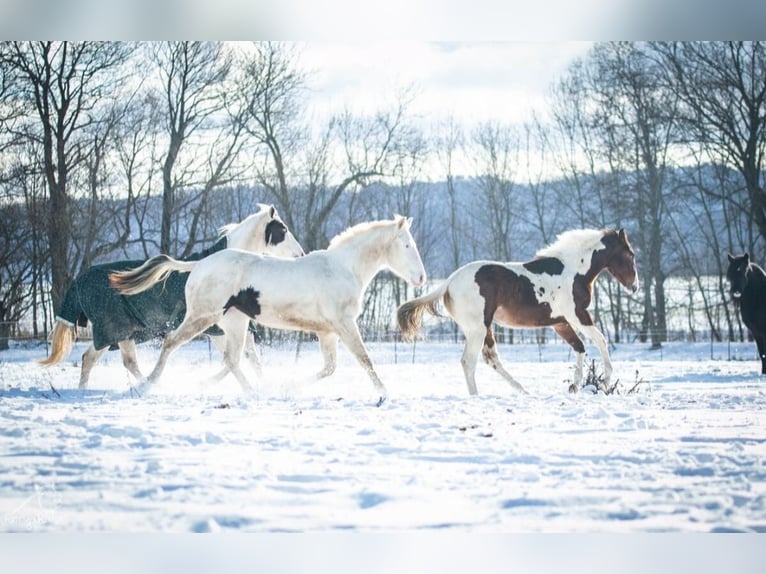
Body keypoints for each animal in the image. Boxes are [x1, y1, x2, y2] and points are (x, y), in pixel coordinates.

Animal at [38, 205, 304, 390]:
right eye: (283, 230)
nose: (300, 254)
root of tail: (79, 280)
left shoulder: (229, 327)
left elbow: (250, 358)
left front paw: (262, 384)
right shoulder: (215, 329)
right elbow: (233, 360)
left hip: (115, 334)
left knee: (90, 359)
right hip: (118, 330)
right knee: (124, 362)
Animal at [400, 228, 640, 396]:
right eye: (630, 254)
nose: (635, 286)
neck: (574, 271)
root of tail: (449, 282)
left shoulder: (560, 323)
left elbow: (579, 347)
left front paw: (575, 386)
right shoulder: (578, 315)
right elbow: (601, 340)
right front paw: (606, 382)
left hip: (484, 328)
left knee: (492, 359)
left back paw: (523, 389)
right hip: (477, 329)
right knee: (469, 361)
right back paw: (477, 396)